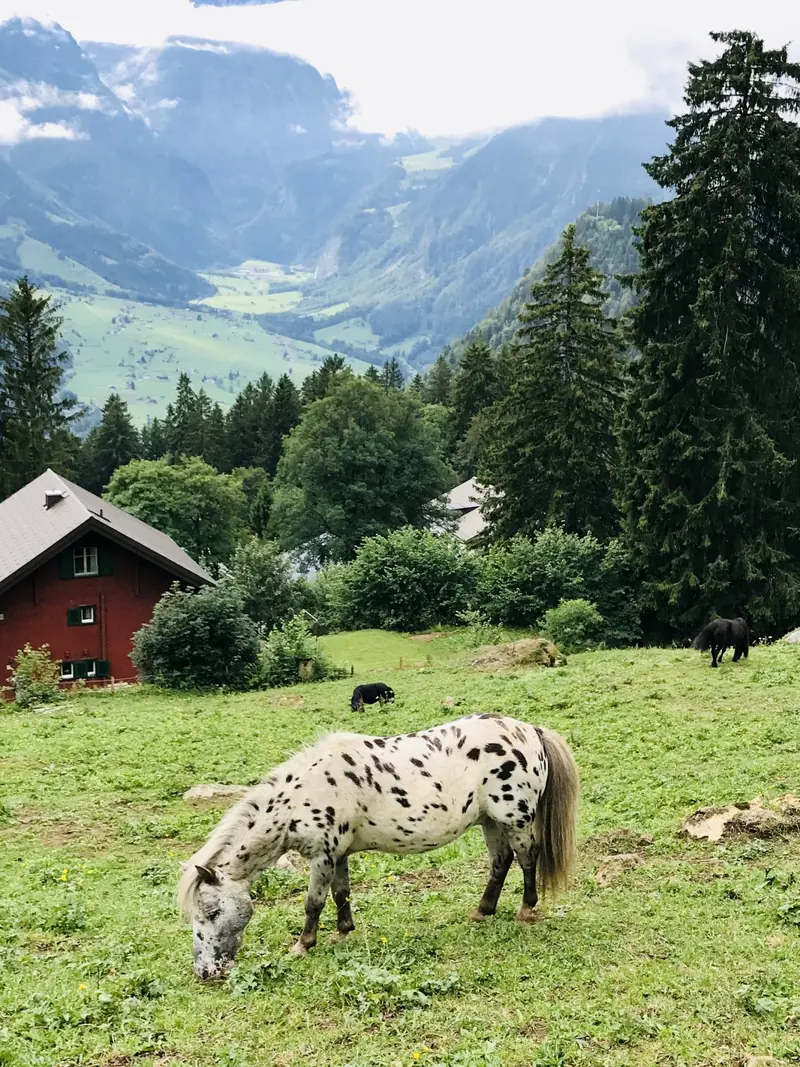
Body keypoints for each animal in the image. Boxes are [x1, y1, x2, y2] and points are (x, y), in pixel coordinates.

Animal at [178, 713, 579, 981]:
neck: (304, 792)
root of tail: (530, 731)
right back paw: (482, 911)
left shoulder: (322, 856)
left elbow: (313, 904)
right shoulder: (338, 855)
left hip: (515, 819)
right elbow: (341, 894)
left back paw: (525, 910)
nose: (206, 972)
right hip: (490, 822)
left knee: (526, 858)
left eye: (211, 912)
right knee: (500, 862)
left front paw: (303, 945)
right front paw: (343, 932)